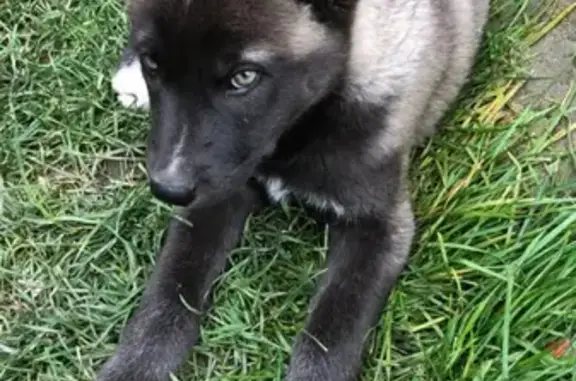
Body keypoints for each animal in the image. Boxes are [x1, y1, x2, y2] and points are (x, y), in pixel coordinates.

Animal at [103, 0, 490, 380]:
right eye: (153, 64)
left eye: (244, 76)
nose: (167, 189)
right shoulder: (215, 192)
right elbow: (170, 287)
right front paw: (132, 366)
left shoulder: (381, 224)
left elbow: (331, 332)